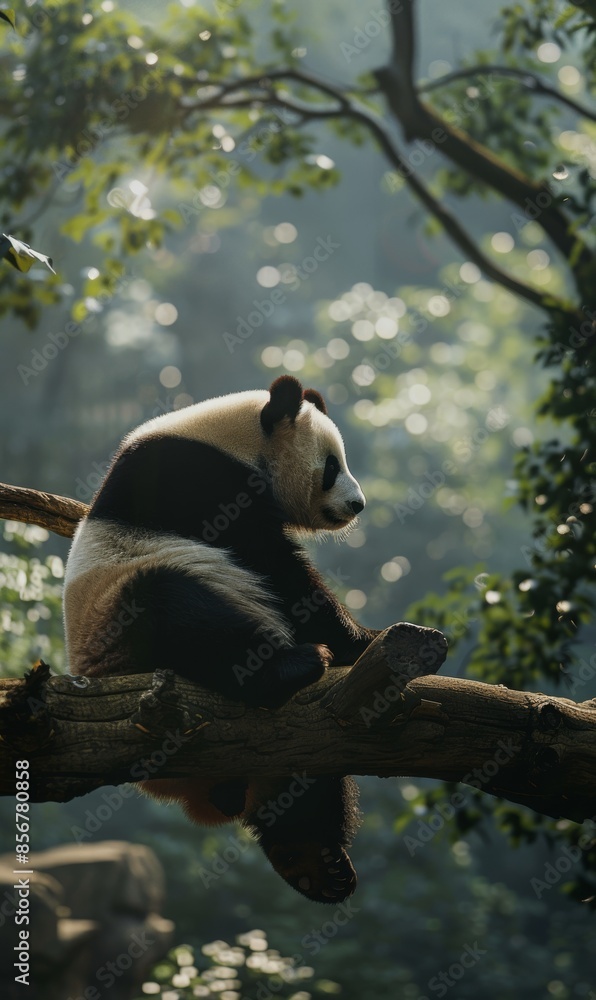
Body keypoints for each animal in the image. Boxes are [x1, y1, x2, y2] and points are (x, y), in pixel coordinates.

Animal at [63, 375, 380, 903]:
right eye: (332, 466)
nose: (357, 505)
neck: (237, 440)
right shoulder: (200, 483)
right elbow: (277, 568)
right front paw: (361, 639)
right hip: (120, 624)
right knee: (181, 610)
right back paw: (290, 667)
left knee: (310, 780)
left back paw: (313, 863)